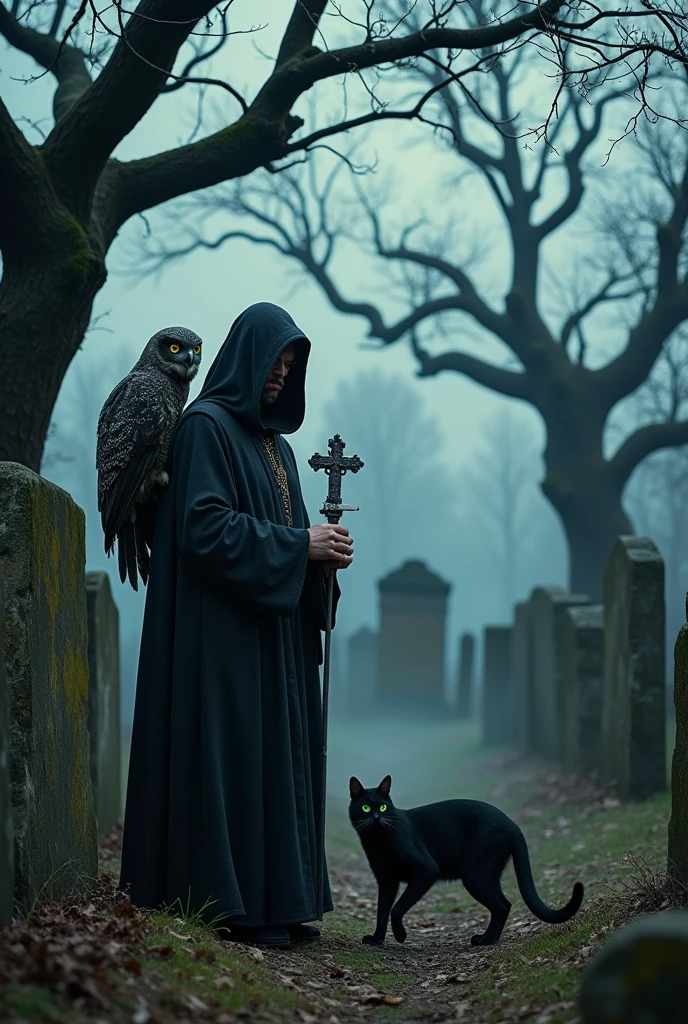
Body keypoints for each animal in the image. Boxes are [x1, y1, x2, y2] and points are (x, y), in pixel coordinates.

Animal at [350, 774, 581, 942]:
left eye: (382, 807)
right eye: (365, 807)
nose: (376, 818)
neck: (378, 842)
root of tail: (510, 823)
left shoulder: (426, 870)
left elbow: (396, 908)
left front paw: (400, 935)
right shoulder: (386, 880)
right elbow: (381, 911)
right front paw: (376, 940)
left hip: (474, 873)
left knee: (499, 906)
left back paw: (484, 940)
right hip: (486, 873)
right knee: (505, 903)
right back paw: (491, 939)